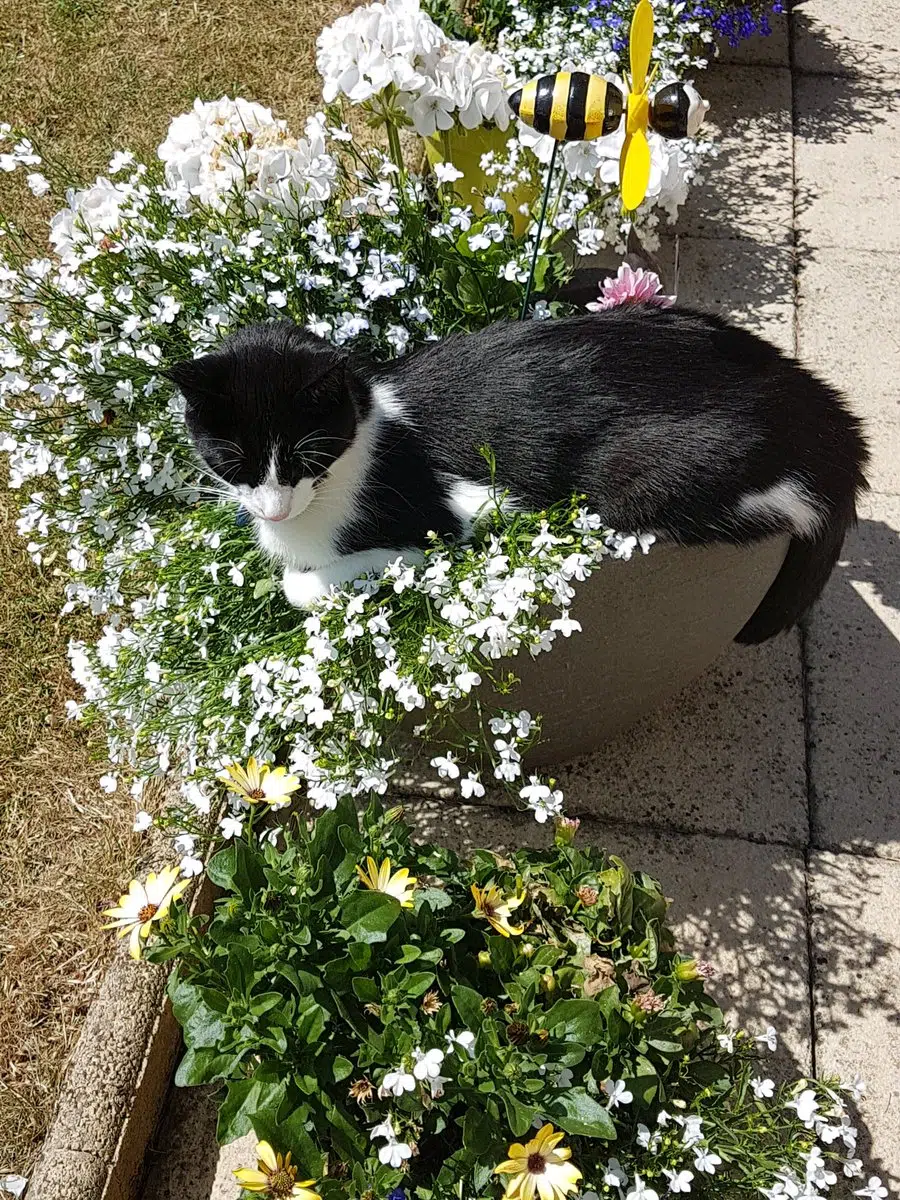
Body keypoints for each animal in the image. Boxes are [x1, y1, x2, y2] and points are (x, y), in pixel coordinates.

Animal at [165, 312, 868, 648]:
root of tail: (823, 415)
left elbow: (303, 585)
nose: (274, 509)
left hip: (641, 477)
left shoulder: (461, 510)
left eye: (304, 456)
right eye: (232, 458)